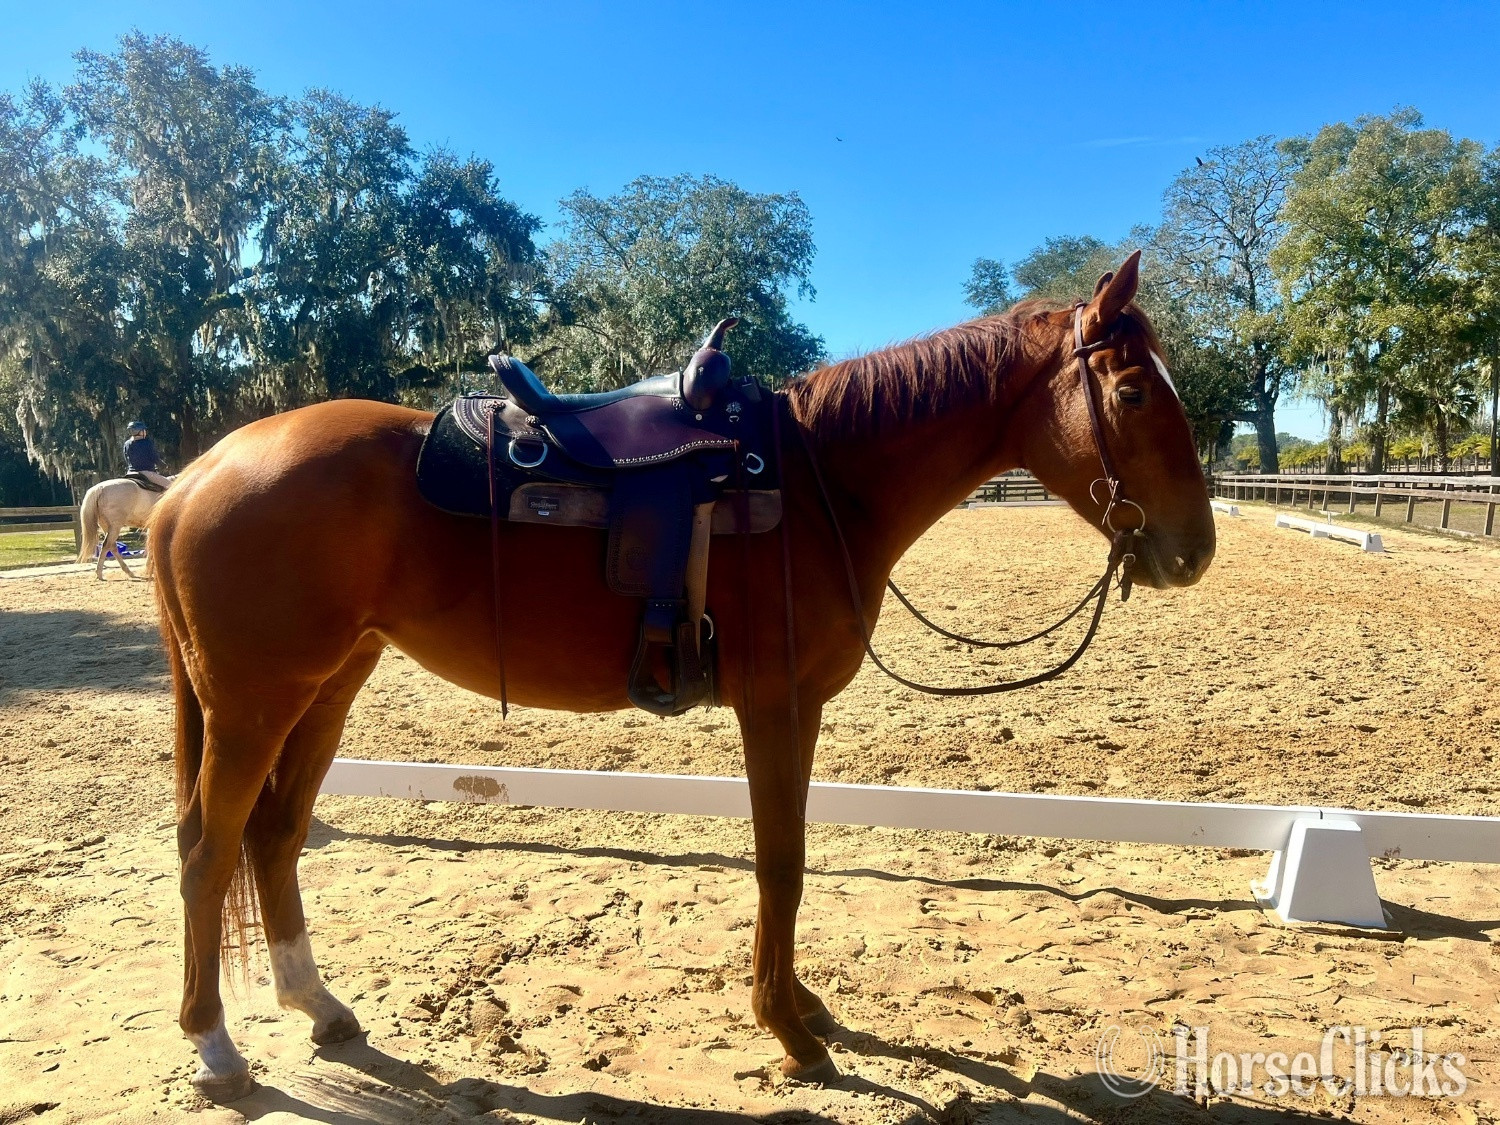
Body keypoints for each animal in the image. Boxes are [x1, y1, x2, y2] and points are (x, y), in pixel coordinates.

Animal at [150, 252, 1215, 1101]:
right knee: (208, 848)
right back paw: (216, 1047)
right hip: (253, 704)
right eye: (1132, 395)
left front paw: (803, 1006)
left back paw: (317, 1004)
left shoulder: (799, 708)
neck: (825, 481)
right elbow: (781, 862)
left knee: (275, 837)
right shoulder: (773, 704)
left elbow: (790, 857)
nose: (1194, 551)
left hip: (327, 688)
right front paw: (789, 1031)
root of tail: (194, 477)